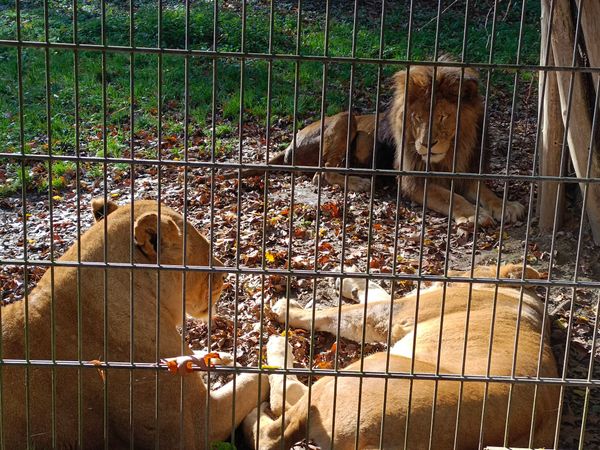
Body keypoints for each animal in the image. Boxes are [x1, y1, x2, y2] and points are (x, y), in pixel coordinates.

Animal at [243, 264, 556, 450]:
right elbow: (376, 291)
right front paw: (351, 277)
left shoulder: (396, 313)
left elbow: (335, 314)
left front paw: (286, 309)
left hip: (368, 368)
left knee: (276, 420)